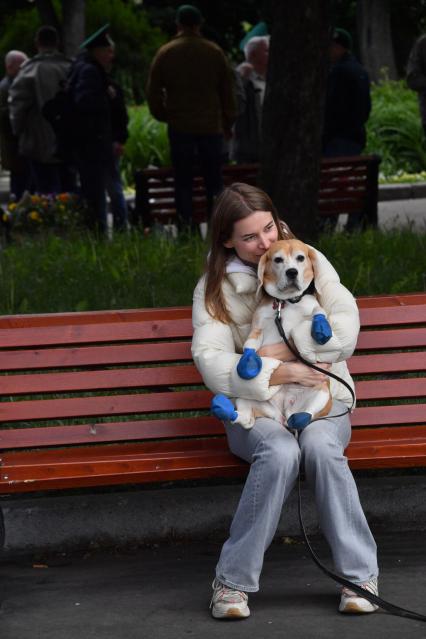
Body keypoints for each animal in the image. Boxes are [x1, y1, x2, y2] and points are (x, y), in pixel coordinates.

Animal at [212, 242, 332, 432]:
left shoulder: (312, 307)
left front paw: (322, 327)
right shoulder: (258, 327)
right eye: (278, 260)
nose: (292, 272)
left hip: (322, 393)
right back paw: (223, 408)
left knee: (307, 414)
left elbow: (318, 311)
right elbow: (250, 345)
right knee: (245, 419)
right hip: (246, 397)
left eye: (300, 258)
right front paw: (248, 362)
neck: (286, 302)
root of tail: (284, 411)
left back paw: (298, 418)